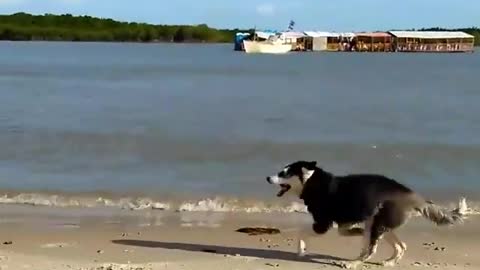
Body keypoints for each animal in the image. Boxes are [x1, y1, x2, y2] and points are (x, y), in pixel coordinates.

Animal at [268, 160, 464, 268]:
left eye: (283, 173)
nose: (267, 178)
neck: (312, 182)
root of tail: (411, 194)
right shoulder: (344, 221)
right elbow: (344, 231)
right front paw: (357, 232)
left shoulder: (322, 223)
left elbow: (301, 232)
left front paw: (301, 251)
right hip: (379, 223)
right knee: (401, 246)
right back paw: (389, 261)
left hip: (378, 223)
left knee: (372, 249)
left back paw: (353, 263)